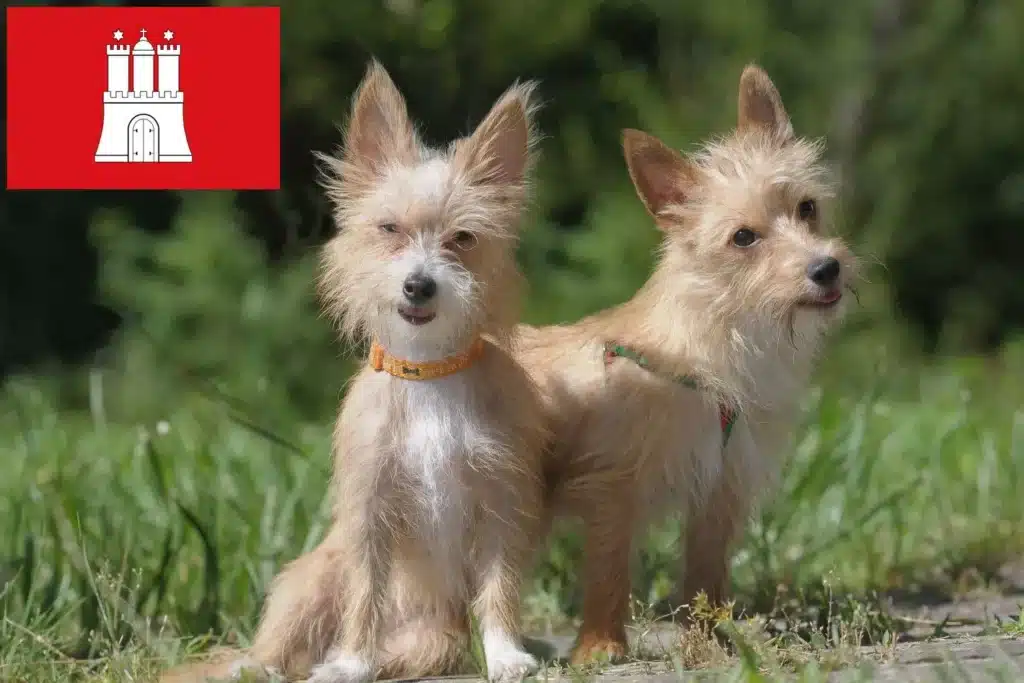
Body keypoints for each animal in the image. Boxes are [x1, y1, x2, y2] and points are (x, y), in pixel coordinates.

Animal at [160, 60, 548, 683]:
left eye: (462, 239)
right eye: (388, 229)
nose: (419, 284)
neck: (428, 371)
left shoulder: (500, 505)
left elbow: (499, 586)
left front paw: (505, 652)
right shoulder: (370, 514)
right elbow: (365, 594)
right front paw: (349, 662)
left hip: (432, 636)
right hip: (311, 580)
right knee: (273, 651)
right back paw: (273, 666)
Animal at [516, 63, 860, 663]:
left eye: (807, 208)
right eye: (743, 238)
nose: (826, 268)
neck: (717, 345)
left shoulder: (718, 490)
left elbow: (705, 577)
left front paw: (711, 643)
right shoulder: (613, 492)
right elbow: (608, 573)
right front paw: (600, 647)